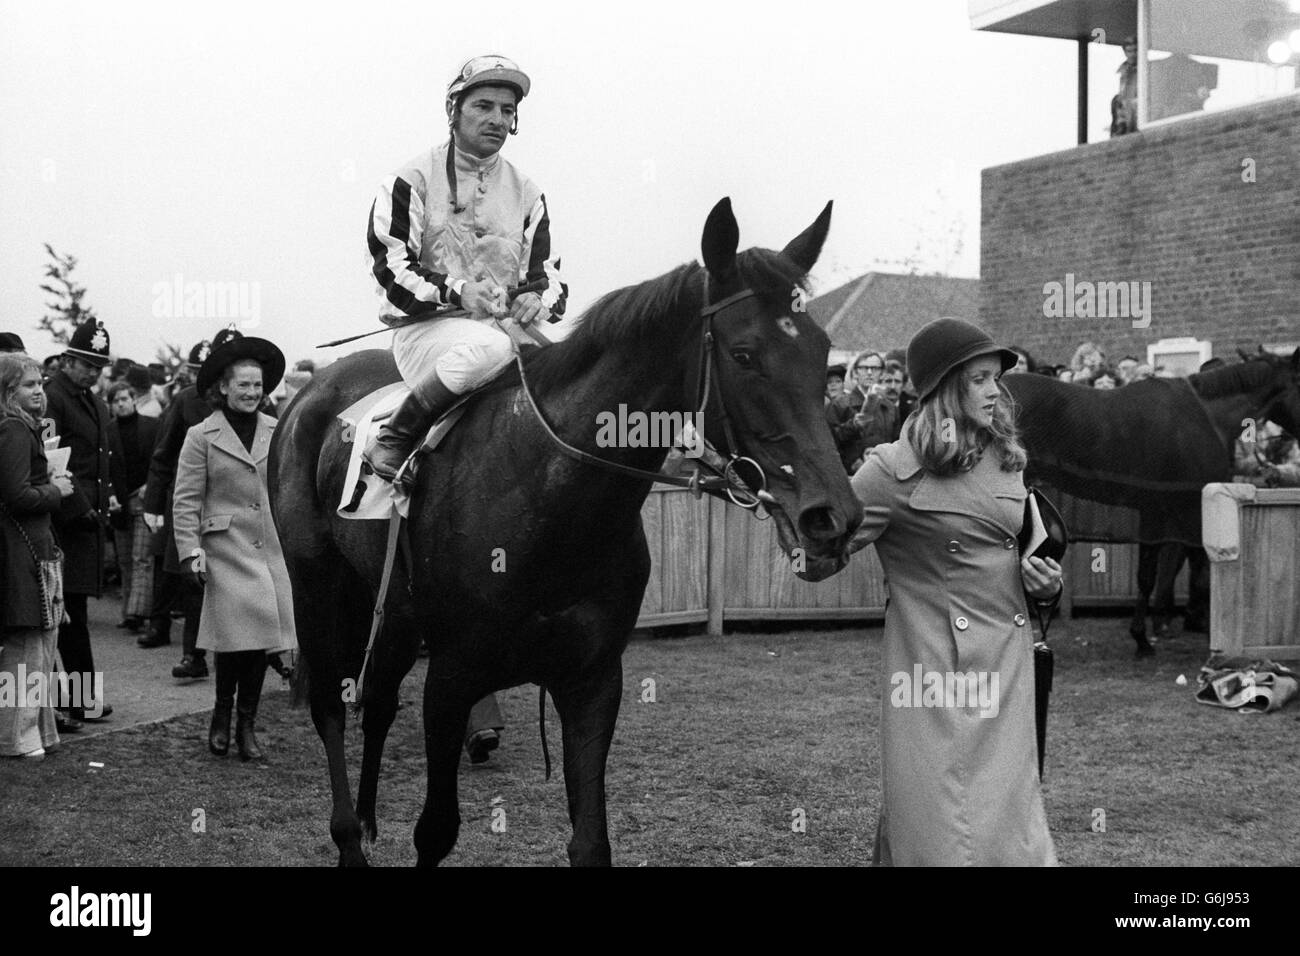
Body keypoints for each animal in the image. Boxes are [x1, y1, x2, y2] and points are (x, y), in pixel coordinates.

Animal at [267, 200, 857, 868]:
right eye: (744, 354)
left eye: (822, 351)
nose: (831, 519)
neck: (543, 493)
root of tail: (309, 395)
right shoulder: (451, 677)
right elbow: (436, 830)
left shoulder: (593, 679)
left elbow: (591, 840)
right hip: (316, 586)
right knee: (330, 705)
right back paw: (348, 835)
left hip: (388, 604)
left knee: (379, 701)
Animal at [1003, 351, 1300, 658]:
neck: (1207, 415)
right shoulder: (1188, 514)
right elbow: (1198, 576)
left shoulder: (1153, 512)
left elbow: (1148, 576)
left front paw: (1142, 637)